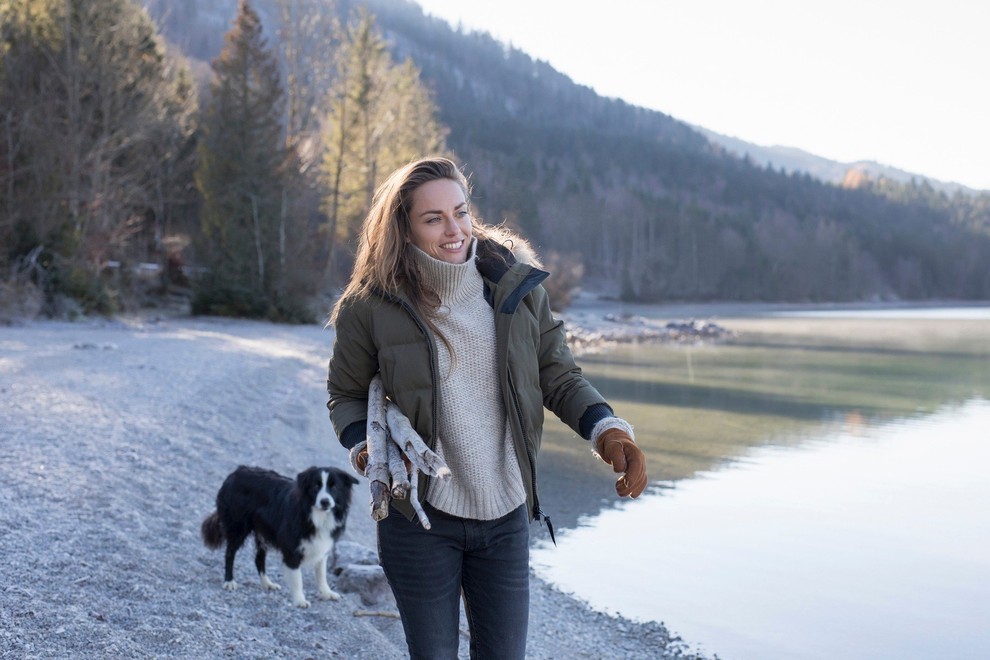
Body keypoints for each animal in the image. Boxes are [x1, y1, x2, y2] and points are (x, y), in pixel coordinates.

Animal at [200, 464, 358, 608]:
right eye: (315, 486)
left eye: (334, 487)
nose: (325, 502)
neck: (316, 516)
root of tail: (237, 471)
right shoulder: (292, 549)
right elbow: (297, 579)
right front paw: (300, 600)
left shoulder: (322, 546)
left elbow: (321, 574)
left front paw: (326, 593)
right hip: (238, 526)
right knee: (230, 553)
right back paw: (229, 581)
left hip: (261, 532)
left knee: (259, 558)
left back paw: (267, 583)